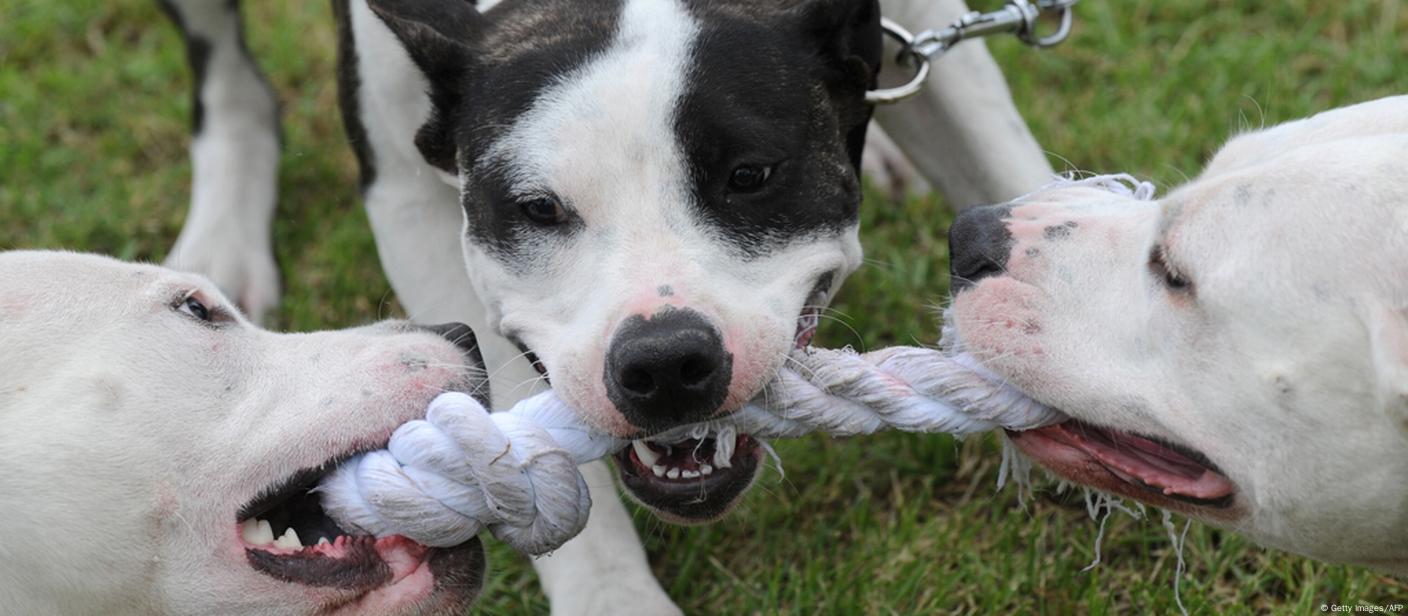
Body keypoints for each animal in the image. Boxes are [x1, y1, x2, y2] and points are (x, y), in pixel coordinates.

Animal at [159, 0, 1053, 610]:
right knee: (224, 75)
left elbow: (1012, 167)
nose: (666, 362)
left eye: (750, 176)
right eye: (537, 210)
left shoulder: (938, 36)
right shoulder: (406, 192)